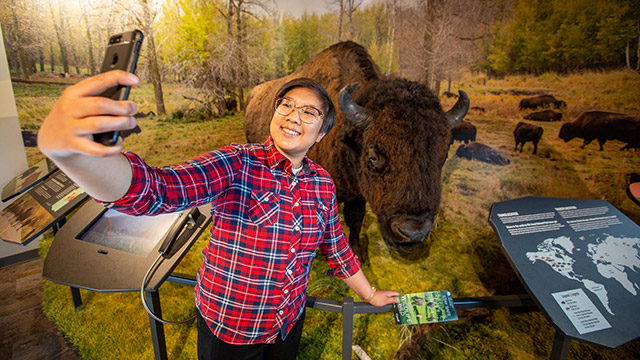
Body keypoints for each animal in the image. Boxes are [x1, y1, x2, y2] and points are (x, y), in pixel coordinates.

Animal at [242, 40, 468, 258]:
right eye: (373, 156)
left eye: (443, 155)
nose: (413, 233)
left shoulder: (357, 194)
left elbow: (355, 219)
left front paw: (358, 251)